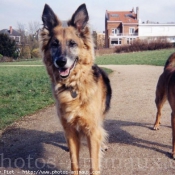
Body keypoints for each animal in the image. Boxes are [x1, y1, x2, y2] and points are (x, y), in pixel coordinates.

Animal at [39, 3, 111, 175]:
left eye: (72, 43)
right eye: (54, 44)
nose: (60, 62)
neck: (73, 86)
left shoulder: (92, 130)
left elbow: (94, 164)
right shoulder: (70, 130)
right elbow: (74, 162)